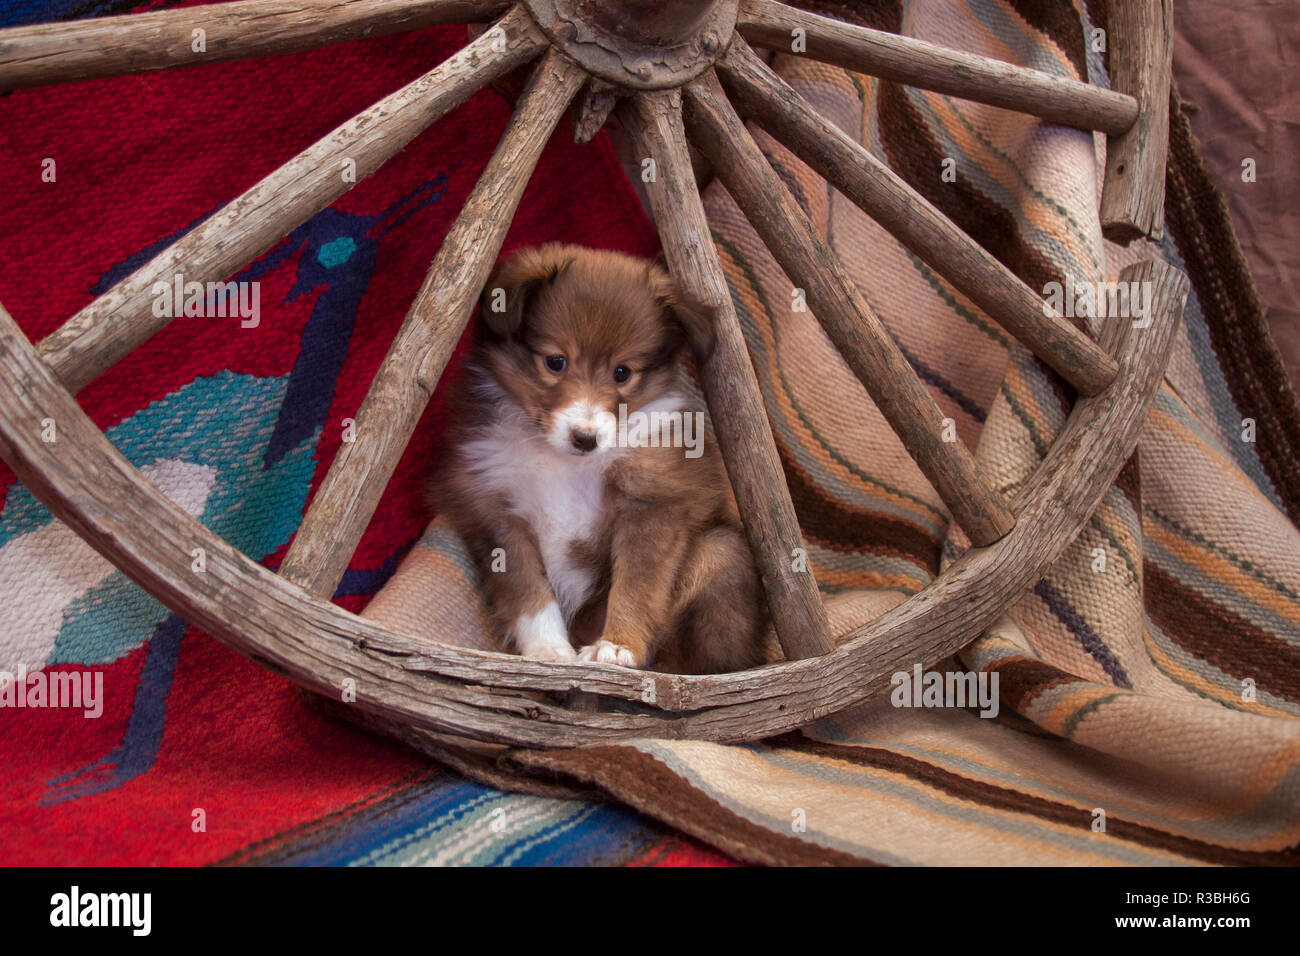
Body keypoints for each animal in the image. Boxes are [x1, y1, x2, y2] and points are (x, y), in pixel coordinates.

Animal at [436, 240, 764, 671]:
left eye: (622, 372)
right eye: (555, 362)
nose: (586, 438)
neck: (563, 462)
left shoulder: (650, 501)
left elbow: (635, 585)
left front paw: (618, 645)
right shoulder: (497, 508)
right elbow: (527, 590)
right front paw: (548, 650)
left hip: (720, 553)